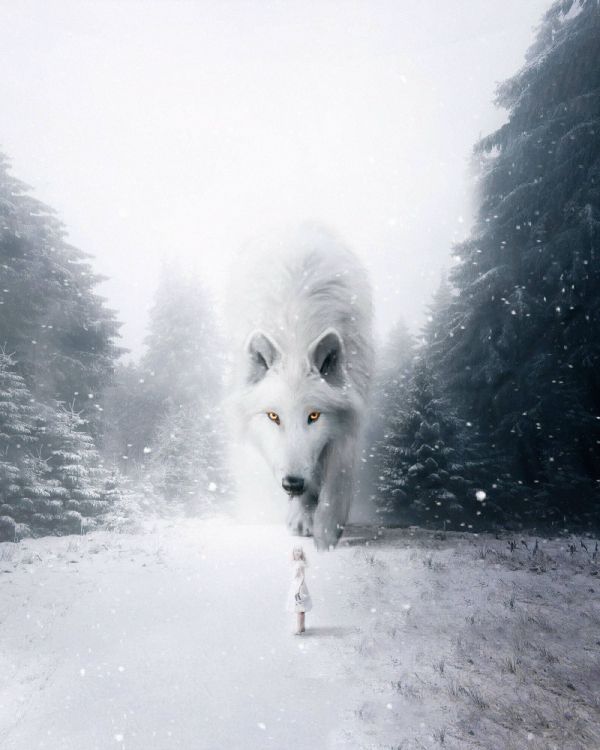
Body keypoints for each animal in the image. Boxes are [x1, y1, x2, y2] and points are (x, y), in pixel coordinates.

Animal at [225, 223, 373, 550]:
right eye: (273, 416)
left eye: (314, 416)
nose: (292, 484)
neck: (296, 333)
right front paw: (304, 516)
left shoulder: (349, 415)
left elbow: (338, 477)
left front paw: (327, 534)